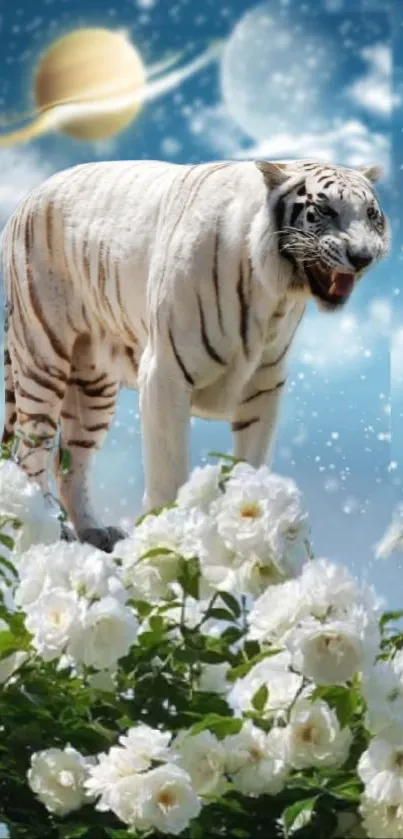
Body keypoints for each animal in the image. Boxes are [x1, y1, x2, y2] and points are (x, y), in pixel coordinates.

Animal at [0, 159, 392, 552]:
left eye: (371, 214)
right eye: (324, 211)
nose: (362, 257)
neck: (274, 295)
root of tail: (30, 196)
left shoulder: (264, 385)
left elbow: (251, 464)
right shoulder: (165, 375)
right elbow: (169, 473)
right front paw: (166, 541)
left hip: (94, 384)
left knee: (70, 462)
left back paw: (95, 532)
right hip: (42, 358)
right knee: (30, 454)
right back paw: (44, 535)